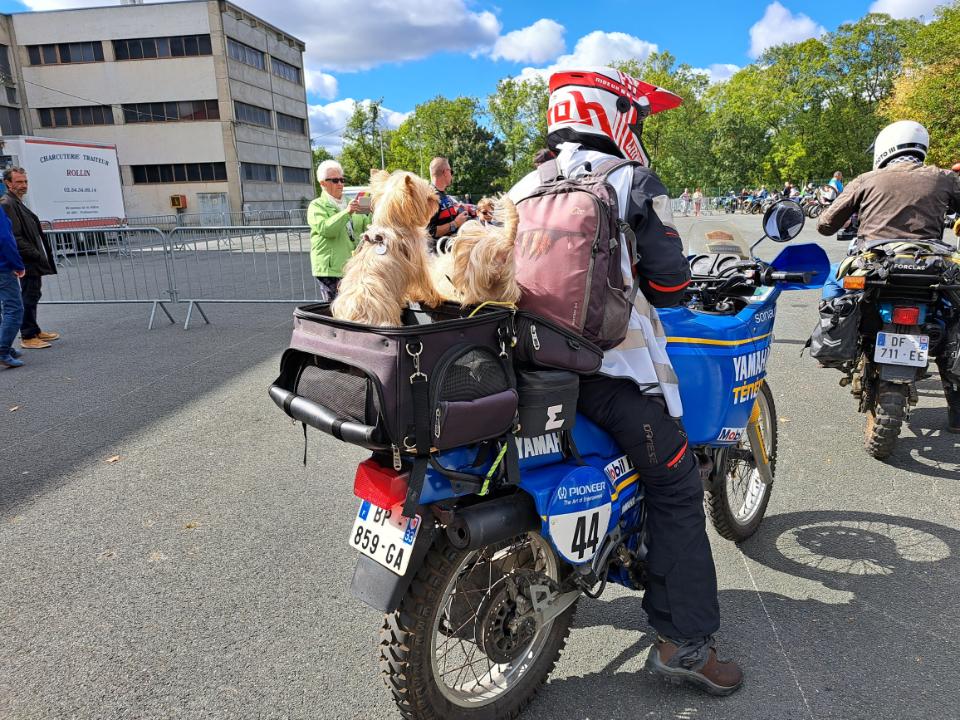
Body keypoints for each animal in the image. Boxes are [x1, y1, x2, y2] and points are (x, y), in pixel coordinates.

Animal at [332, 169, 444, 326]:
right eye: (428, 198)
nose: (437, 198)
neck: (390, 224)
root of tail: (356, 317)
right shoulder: (418, 263)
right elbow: (425, 283)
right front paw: (436, 298)